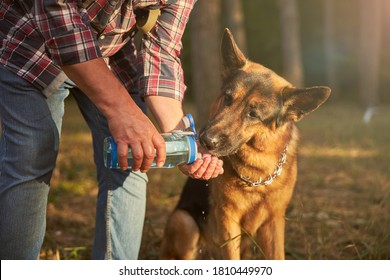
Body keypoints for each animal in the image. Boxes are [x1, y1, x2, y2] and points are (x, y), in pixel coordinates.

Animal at [160, 29, 330, 260]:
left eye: (253, 114)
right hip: (184, 222)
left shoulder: (274, 221)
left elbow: (278, 256)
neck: (257, 174)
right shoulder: (228, 220)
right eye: (227, 98)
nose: (205, 140)